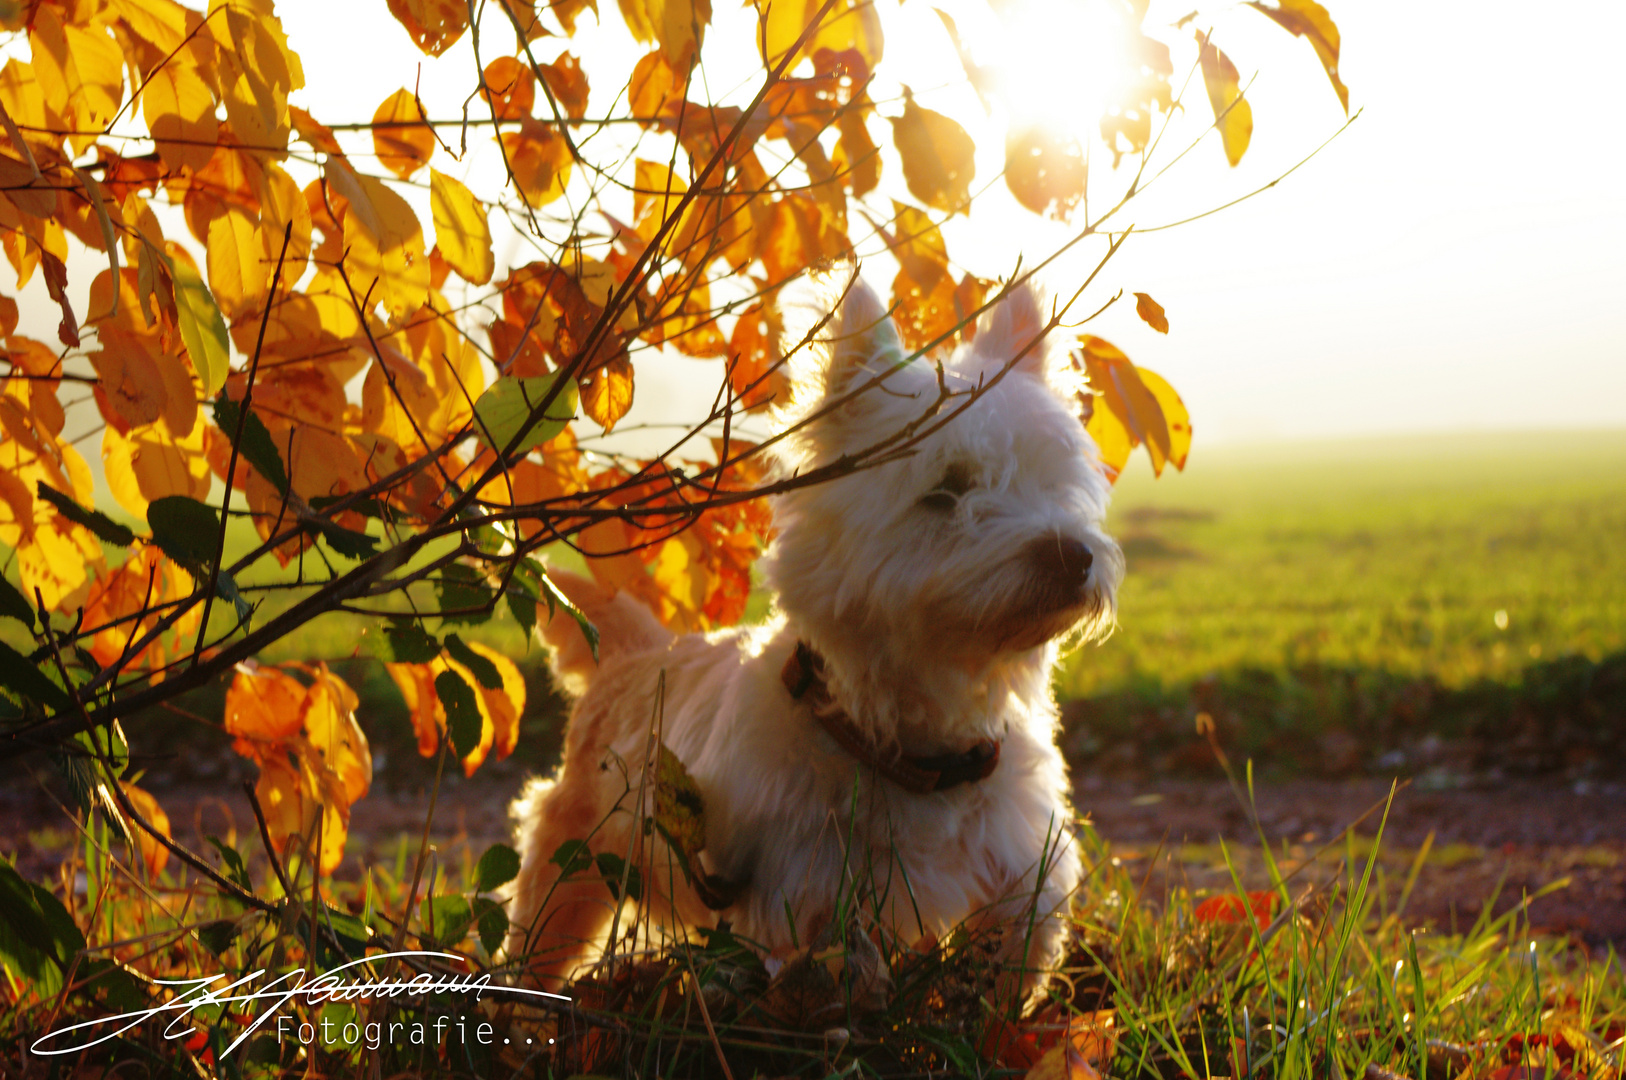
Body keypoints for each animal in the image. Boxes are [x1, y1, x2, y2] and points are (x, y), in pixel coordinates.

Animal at [504, 268, 1118, 1001]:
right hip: (570, 863)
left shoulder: (1019, 872)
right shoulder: (801, 904)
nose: (1073, 556)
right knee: (537, 934)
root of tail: (636, 654)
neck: (911, 748)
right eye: (946, 490)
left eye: (1051, 482)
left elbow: (1006, 975)